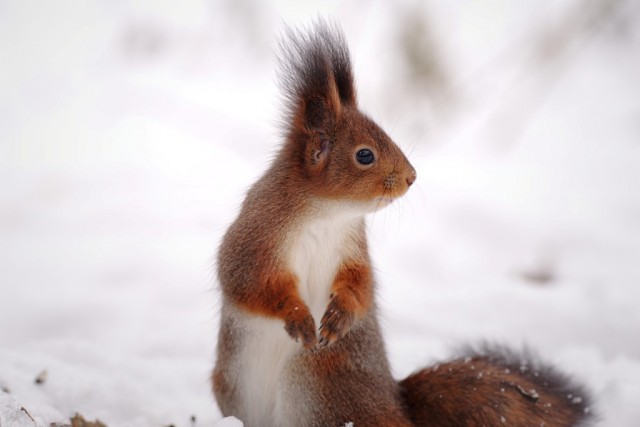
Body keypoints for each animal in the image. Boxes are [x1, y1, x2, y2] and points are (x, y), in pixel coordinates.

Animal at [211, 20, 596, 427]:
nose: (412, 177)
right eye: (365, 155)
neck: (326, 214)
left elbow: (361, 284)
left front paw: (341, 315)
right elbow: (250, 282)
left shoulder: (353, 247)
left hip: (317, 378)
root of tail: (398, 407)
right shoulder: (257, 237)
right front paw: (299, 316)